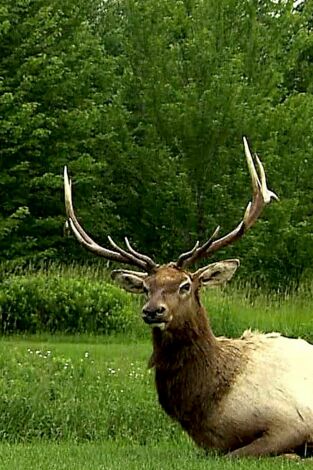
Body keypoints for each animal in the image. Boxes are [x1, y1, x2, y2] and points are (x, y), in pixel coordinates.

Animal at [63, 138, 312, 458]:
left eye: (185, 285)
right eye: (146, 287)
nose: (153, 311)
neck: (210, 406)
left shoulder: (294, 419)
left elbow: (243, 452)